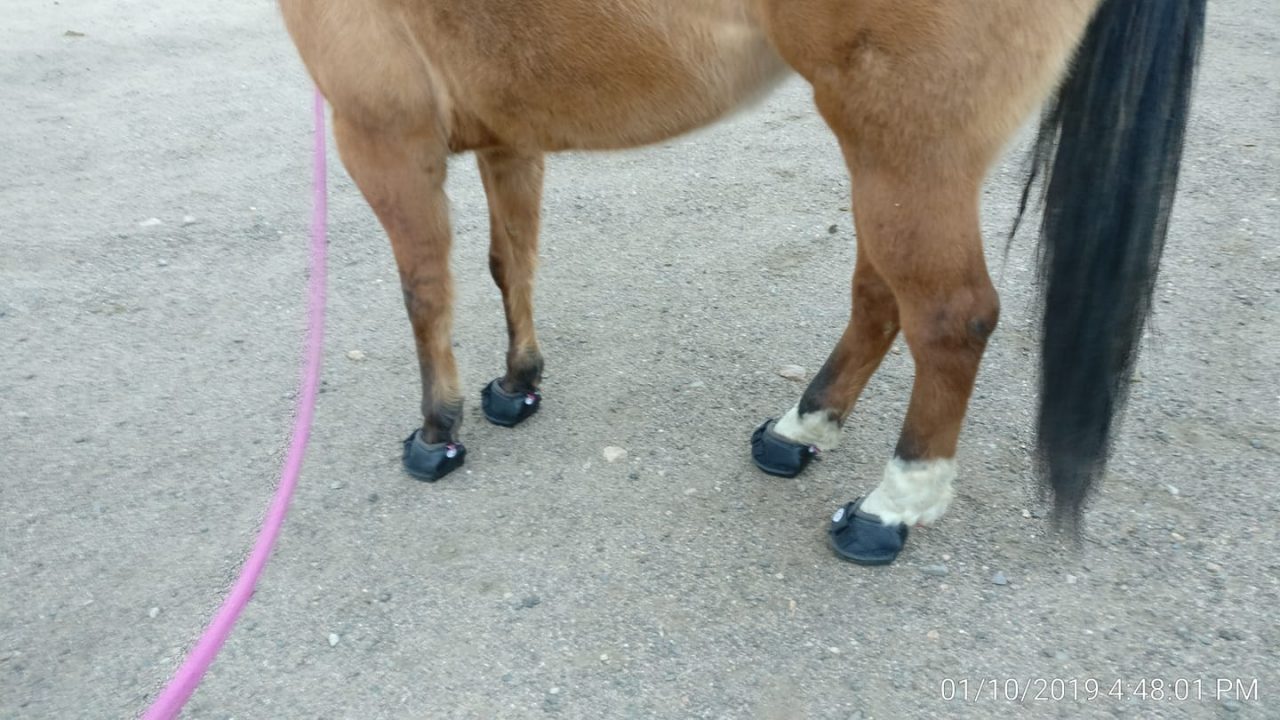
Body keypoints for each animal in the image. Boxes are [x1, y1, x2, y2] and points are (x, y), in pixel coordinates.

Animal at [278, 0, 1205, 564]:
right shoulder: (509, 134)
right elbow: (514, 262)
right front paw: (517, 383)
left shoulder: (385, 135)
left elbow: (425, 289)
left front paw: (438, 430)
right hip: (895, 154)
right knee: (881, 297)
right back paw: (800, 429)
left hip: (904, 147)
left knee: (949, 317)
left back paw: (890, 507)